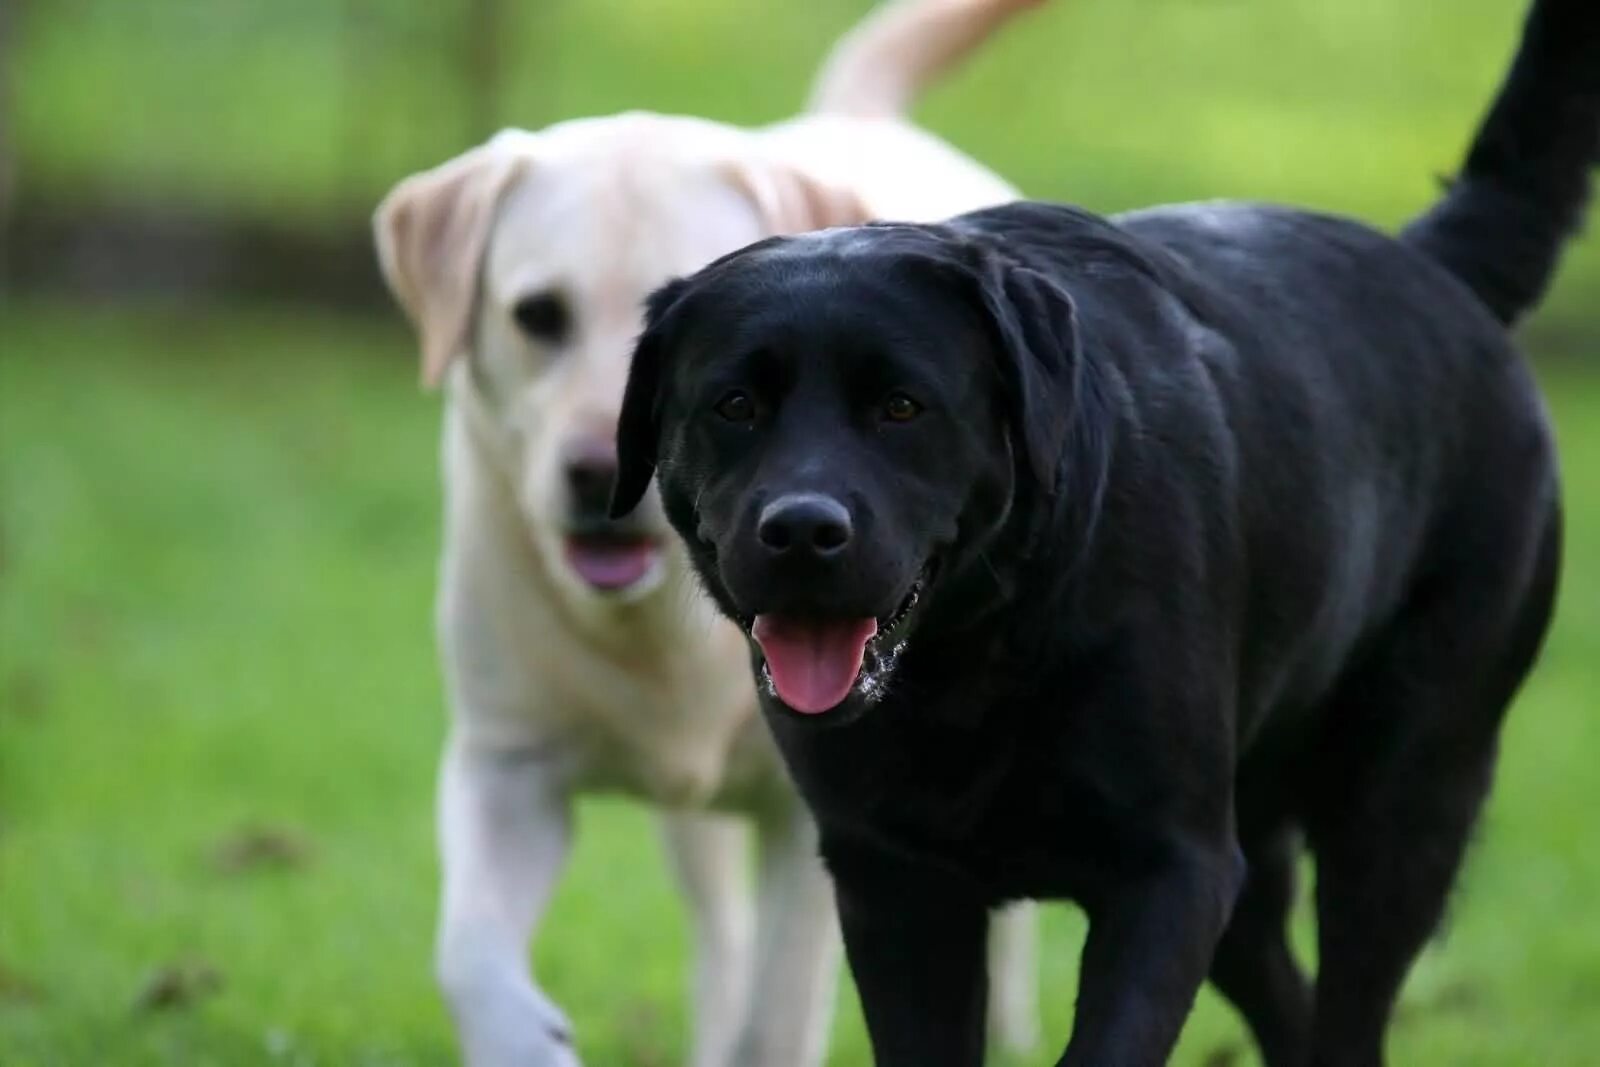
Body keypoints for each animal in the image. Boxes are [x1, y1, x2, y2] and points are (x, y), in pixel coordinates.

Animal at [376, 4, 1049, 1062]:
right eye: (537, 315)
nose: (598, 472)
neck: (666, 626)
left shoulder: (820, 819)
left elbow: (780, 1010)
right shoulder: (506, 763)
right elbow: (470, 950)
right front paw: (522, 1036)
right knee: (717, 935)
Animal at [614, 4, 1600, 1062]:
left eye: (902, 406)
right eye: (736, 405)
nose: (801, 528)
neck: (976, 659)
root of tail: (1433, 261)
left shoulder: (1170, 870)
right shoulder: (893, 884)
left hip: (1404, 794)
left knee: (1349, 1001)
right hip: (1251, 856)